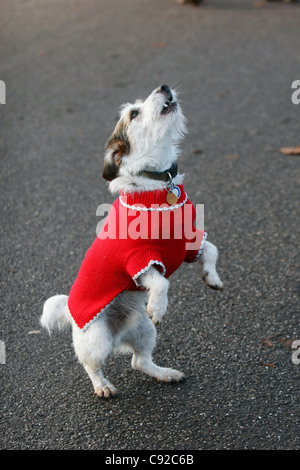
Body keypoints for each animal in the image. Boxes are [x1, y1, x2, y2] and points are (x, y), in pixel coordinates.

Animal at [40, 83, 223, 396]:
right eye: (134, 113)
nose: (164, 86)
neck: (157, 184)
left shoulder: (188, 243)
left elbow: (211, 249)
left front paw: (212, 278)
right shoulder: (138, 261)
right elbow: (161, 282)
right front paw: (158, 307)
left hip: (144, 331)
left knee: (139, 361)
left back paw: (166, 374)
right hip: (97, 340)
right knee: (91, 365)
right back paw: (103, 387)